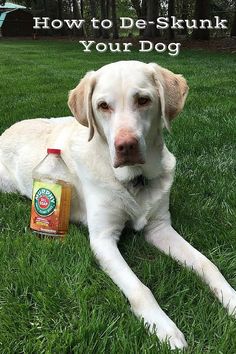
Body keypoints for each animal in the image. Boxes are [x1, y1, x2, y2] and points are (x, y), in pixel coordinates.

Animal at [0, 60, 235, 348]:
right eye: (103, 105)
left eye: (143, 100)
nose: (126, 145)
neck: (134, 180)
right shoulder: (103, 239)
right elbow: (139, 288)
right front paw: (165, 328)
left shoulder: (160, 228)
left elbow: (206, 263)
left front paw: (231, 299)